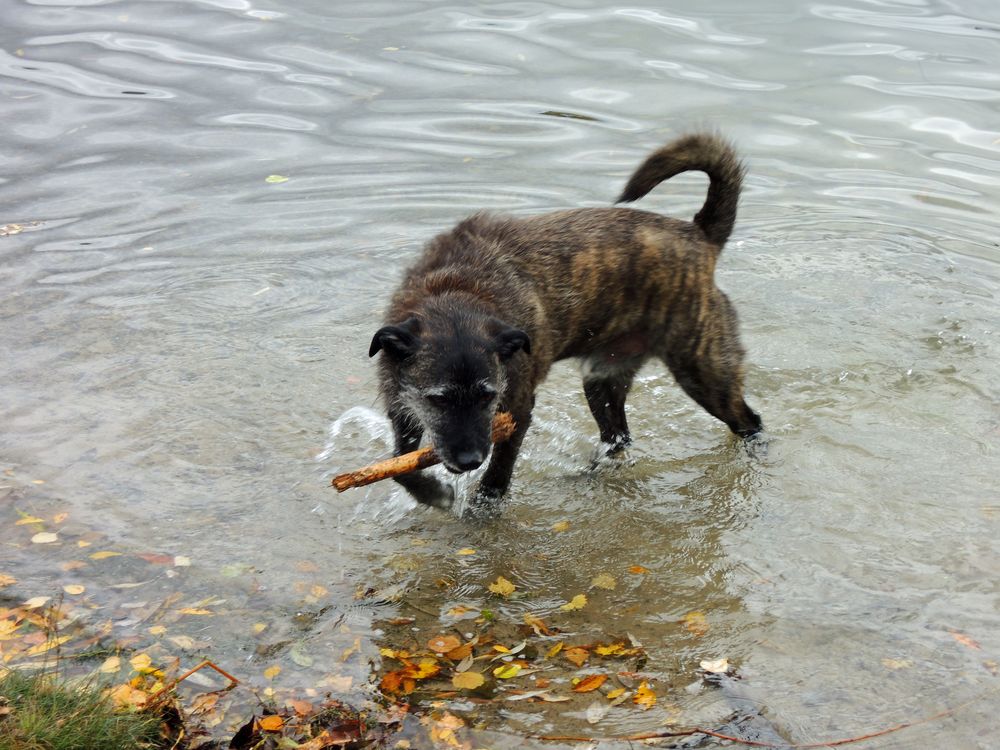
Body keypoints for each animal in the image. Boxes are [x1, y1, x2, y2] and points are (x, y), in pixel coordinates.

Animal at [372, 134, 760, 512]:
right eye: (438, 400)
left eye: (488, 396)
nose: (469, 460)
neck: (457, 288)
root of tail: (700, 235)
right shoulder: (402, 407)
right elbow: (399, 466)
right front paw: (431, 492)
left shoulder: (517, 410)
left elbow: (499, 472)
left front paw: (482, 507)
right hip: (602, 382)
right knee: (618, 437)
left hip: (705, 373)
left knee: (749, 421)